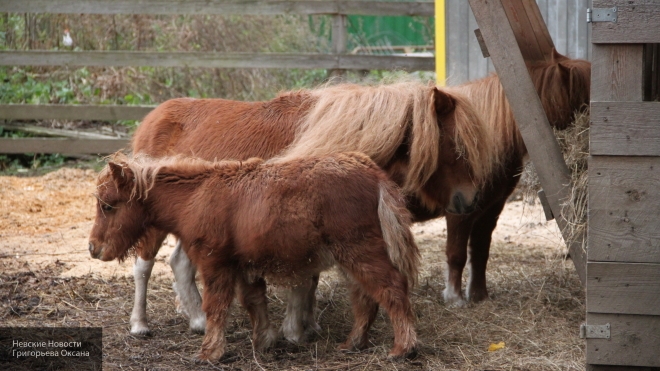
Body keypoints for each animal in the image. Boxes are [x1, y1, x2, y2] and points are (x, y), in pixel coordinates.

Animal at [89, 153, 418, 362]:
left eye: (108, 206)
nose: (93, 248)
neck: (196, 196)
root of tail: (373, 173)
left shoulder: (215, 264)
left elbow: (216, 307)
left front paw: (209, 353)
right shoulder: (245, 266)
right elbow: (254, 301)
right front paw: (265, 342)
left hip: (359, 250)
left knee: (392, 289)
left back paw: (403, 349)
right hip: (351, 256)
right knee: (365, 297)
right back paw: (353, 344)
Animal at [120, 80, 500, 340]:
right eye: (455, 145)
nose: (470, 200)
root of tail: (155, 116)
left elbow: (310, 274)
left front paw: (308, 323)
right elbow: (304, 276)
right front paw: (294, 328)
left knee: (180, 263)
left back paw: (198, 319)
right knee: (144, 266)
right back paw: (140, 324)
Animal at [438, 48, 592, 306]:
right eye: (584, 100)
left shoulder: (490, 208)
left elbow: (480, 252)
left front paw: (479, 295)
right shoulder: (459, 211)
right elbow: (456, 254)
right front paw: (454, 298)